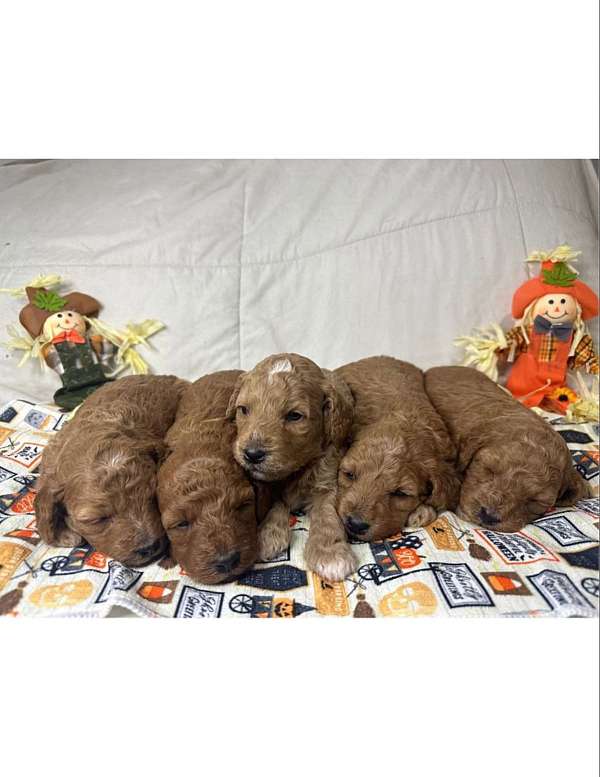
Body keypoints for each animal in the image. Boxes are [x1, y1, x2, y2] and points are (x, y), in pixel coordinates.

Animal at [227, 354, 354, 580]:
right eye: (243, 410)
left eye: (294, 416)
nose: (252, 454)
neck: (298, 467)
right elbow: (276, 503)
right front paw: (268, 535)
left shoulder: (328, 480)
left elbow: (327, 515)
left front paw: (330, 553)